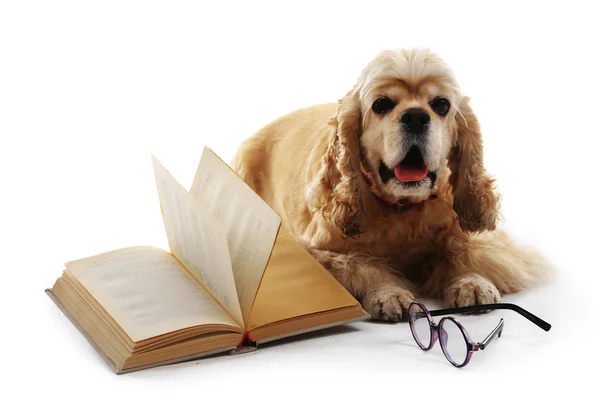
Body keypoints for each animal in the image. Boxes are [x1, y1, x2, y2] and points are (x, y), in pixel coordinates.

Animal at [232, 49, 552, 322]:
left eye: (441, 105)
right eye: (382, 104)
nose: (416, 117)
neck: (402, 210)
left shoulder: (491, 241)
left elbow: (465, 250)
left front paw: (471, 283)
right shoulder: (314, 250)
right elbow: (359, 265)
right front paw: (390, 294)